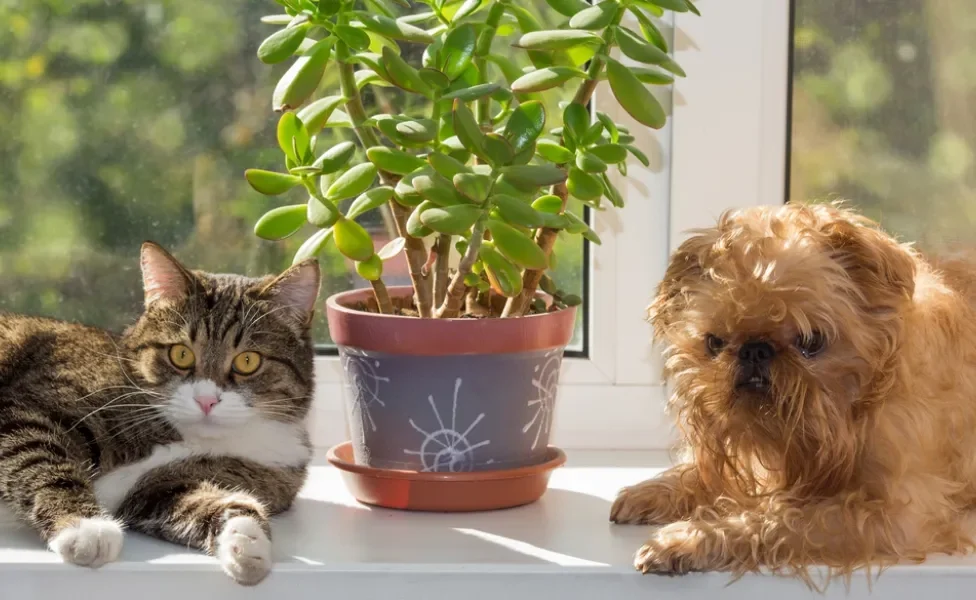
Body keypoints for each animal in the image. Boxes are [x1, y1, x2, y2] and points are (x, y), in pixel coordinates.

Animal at [0, 241, 320, 584]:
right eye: (180, 354)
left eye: (248, 361)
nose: (206, 400)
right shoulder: (27, 407)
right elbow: (37, 456)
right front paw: (84, 527)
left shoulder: (162, 487)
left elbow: (204, 501)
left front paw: (247, 541)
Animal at [612, 202, 976, 580]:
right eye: (714, 343)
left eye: (811, 342)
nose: (754, 350)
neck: (856, 408)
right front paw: (656, 490)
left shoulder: (893, 517)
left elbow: (783, 520)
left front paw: (689, 539)